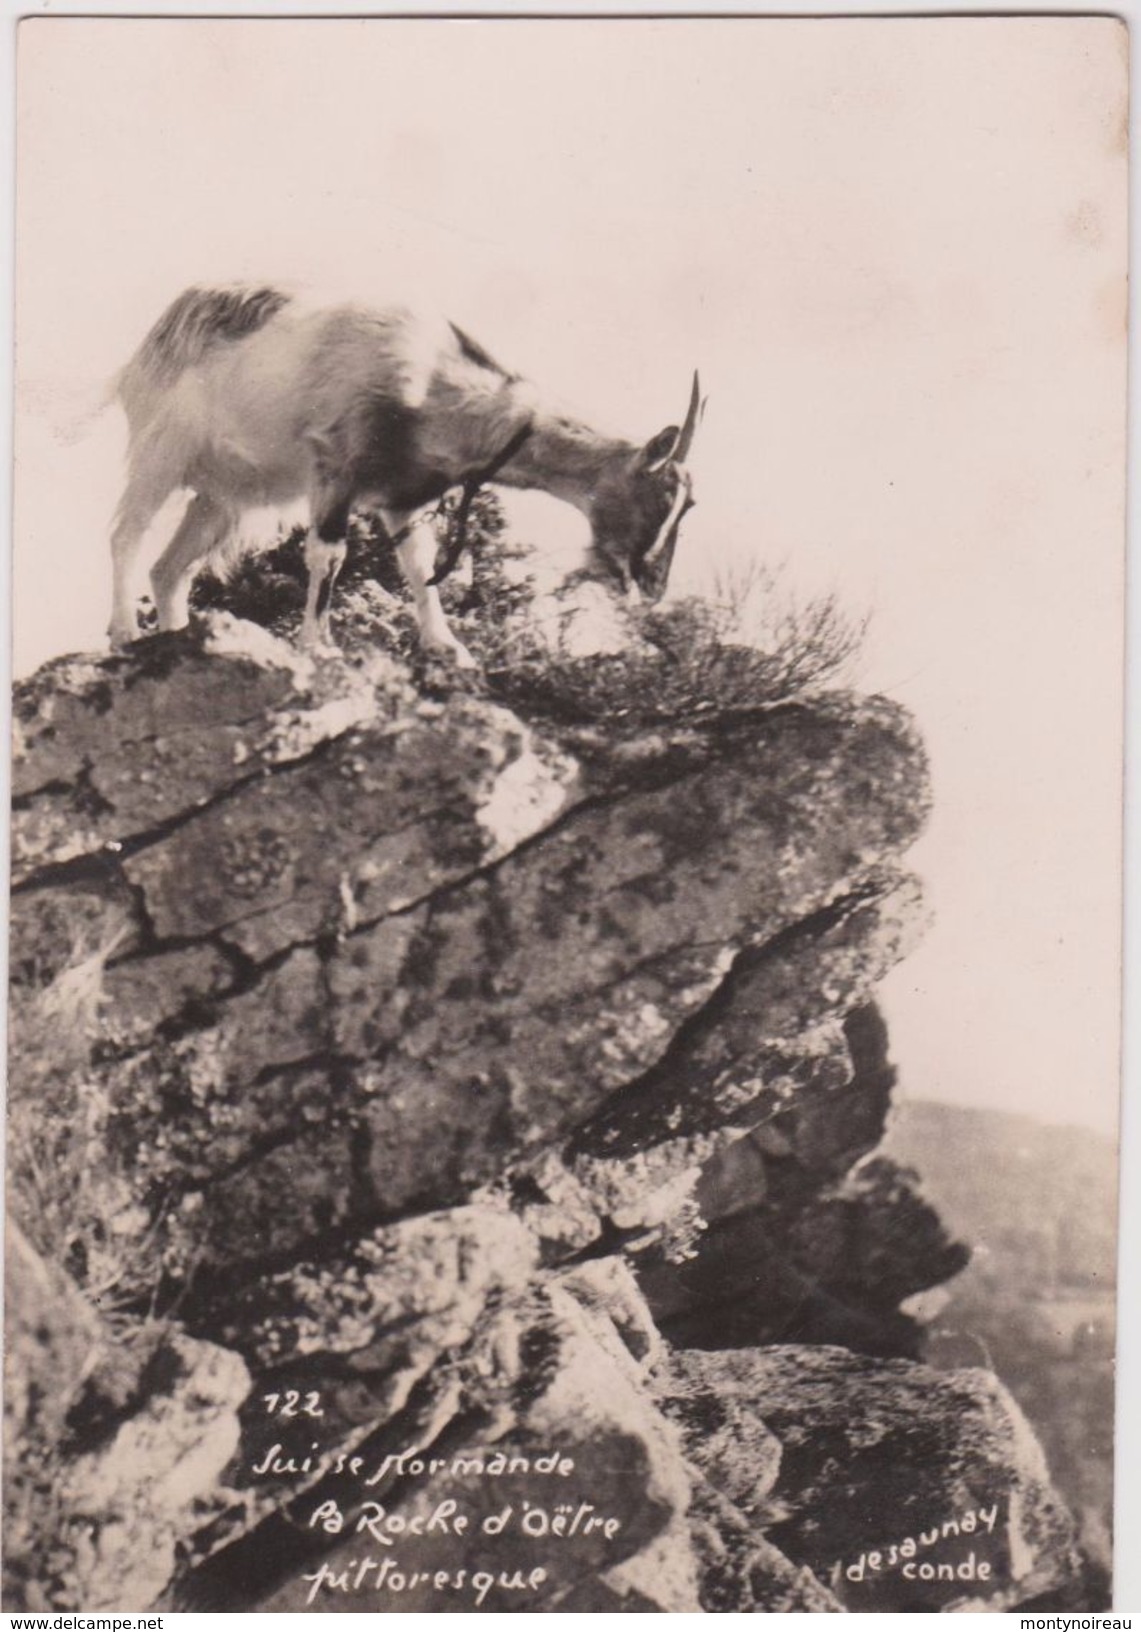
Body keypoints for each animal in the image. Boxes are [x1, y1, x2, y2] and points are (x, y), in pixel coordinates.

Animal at [113, 287, 705, 662]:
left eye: (690, 507)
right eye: (661, 494)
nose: (651, 586)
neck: (433, 377)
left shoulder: (405, 496)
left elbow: (420, 567)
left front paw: (448, 648)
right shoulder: (336, 466)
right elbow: (329, 555)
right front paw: (318, 644)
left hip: (225, 495)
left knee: (170, 570)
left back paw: (176, 640)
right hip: (160, 452)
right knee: (128, 535)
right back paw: (122, 632)